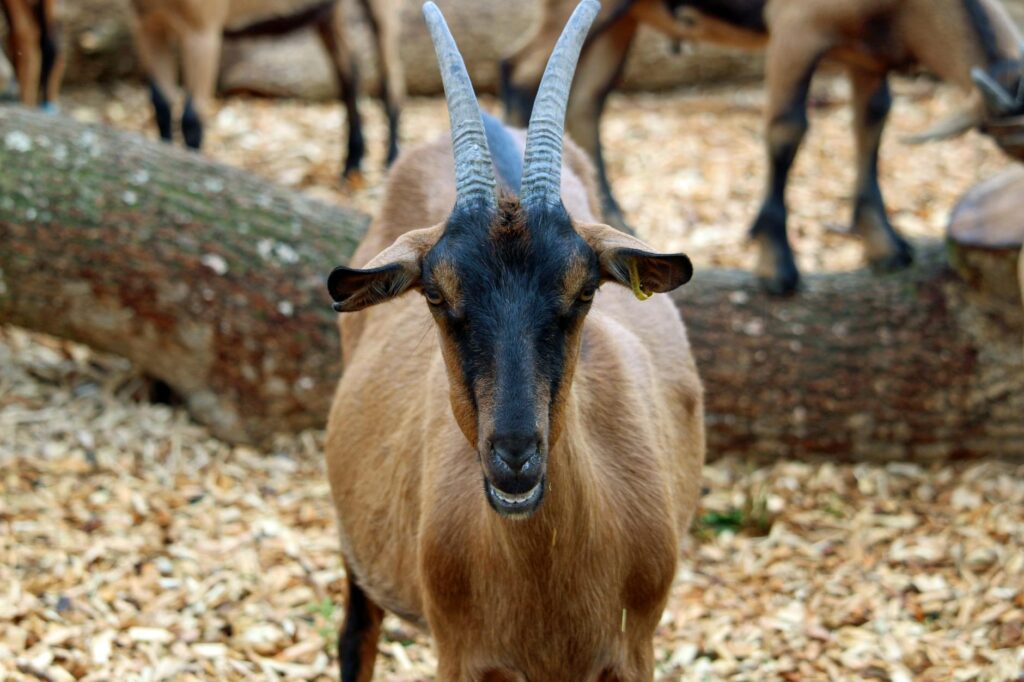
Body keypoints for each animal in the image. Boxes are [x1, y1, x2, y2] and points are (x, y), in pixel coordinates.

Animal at [129, 0, 403, 180]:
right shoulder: (148, 25)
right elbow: (161, 106)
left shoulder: (203, 30)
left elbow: (191, 119)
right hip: (328, 13)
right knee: (350, 72)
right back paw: (352, 163)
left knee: (391, 77)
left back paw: (391, 162)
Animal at [324, 1, 705, 679]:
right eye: (436, 294)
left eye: (585, 290)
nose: (515, 456)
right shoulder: (462, 655)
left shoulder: (635, 650)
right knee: (356, 635)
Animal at [502, 0, 1024, 294]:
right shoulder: (797, 29)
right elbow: (787, 128)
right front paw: (776, 264)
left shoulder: (867, 54)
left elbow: (873, 121)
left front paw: (884, 244)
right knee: (519, 70)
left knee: (588, 98)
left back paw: (616, 212)